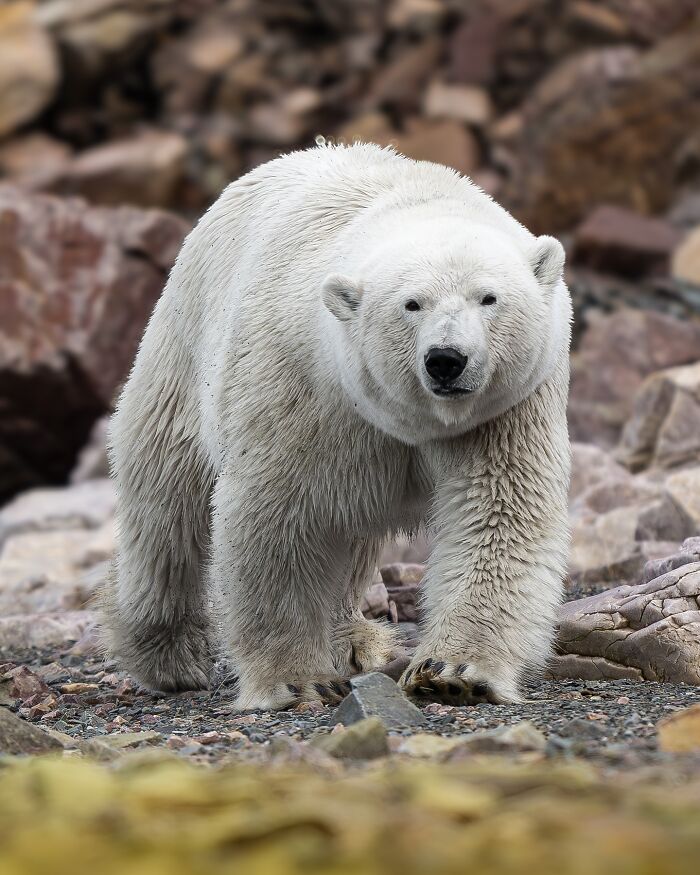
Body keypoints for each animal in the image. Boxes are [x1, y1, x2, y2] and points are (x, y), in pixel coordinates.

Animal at [105, 142, 572, 710]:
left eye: (489, 297)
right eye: (411, 303)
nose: (446, 360)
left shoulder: (505, 408)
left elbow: (498, 511)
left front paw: (453, 671)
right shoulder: (300, 387)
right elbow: (277, 518)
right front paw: (296, 679)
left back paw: (354, 640)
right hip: (183, 342)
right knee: (164, 497)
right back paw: (166, 653)